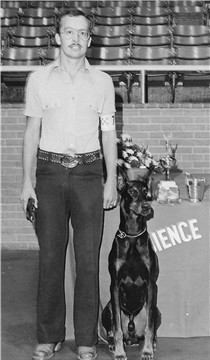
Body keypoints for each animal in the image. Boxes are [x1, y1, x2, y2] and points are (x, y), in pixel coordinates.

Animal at [101, 168, 161, 360]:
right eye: (132, 192)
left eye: (146, 192)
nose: (147, 207)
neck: (133, 235)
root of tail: (132, 336)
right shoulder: (114, 284)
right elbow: (117, 327)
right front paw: (120, 353)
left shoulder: (151, 284)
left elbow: (149, 326)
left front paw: (147, 351)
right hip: (107, 308)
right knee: (113, 329)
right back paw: (113, 344)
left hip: (156, 309)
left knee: (150, 327)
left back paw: (152, 343)